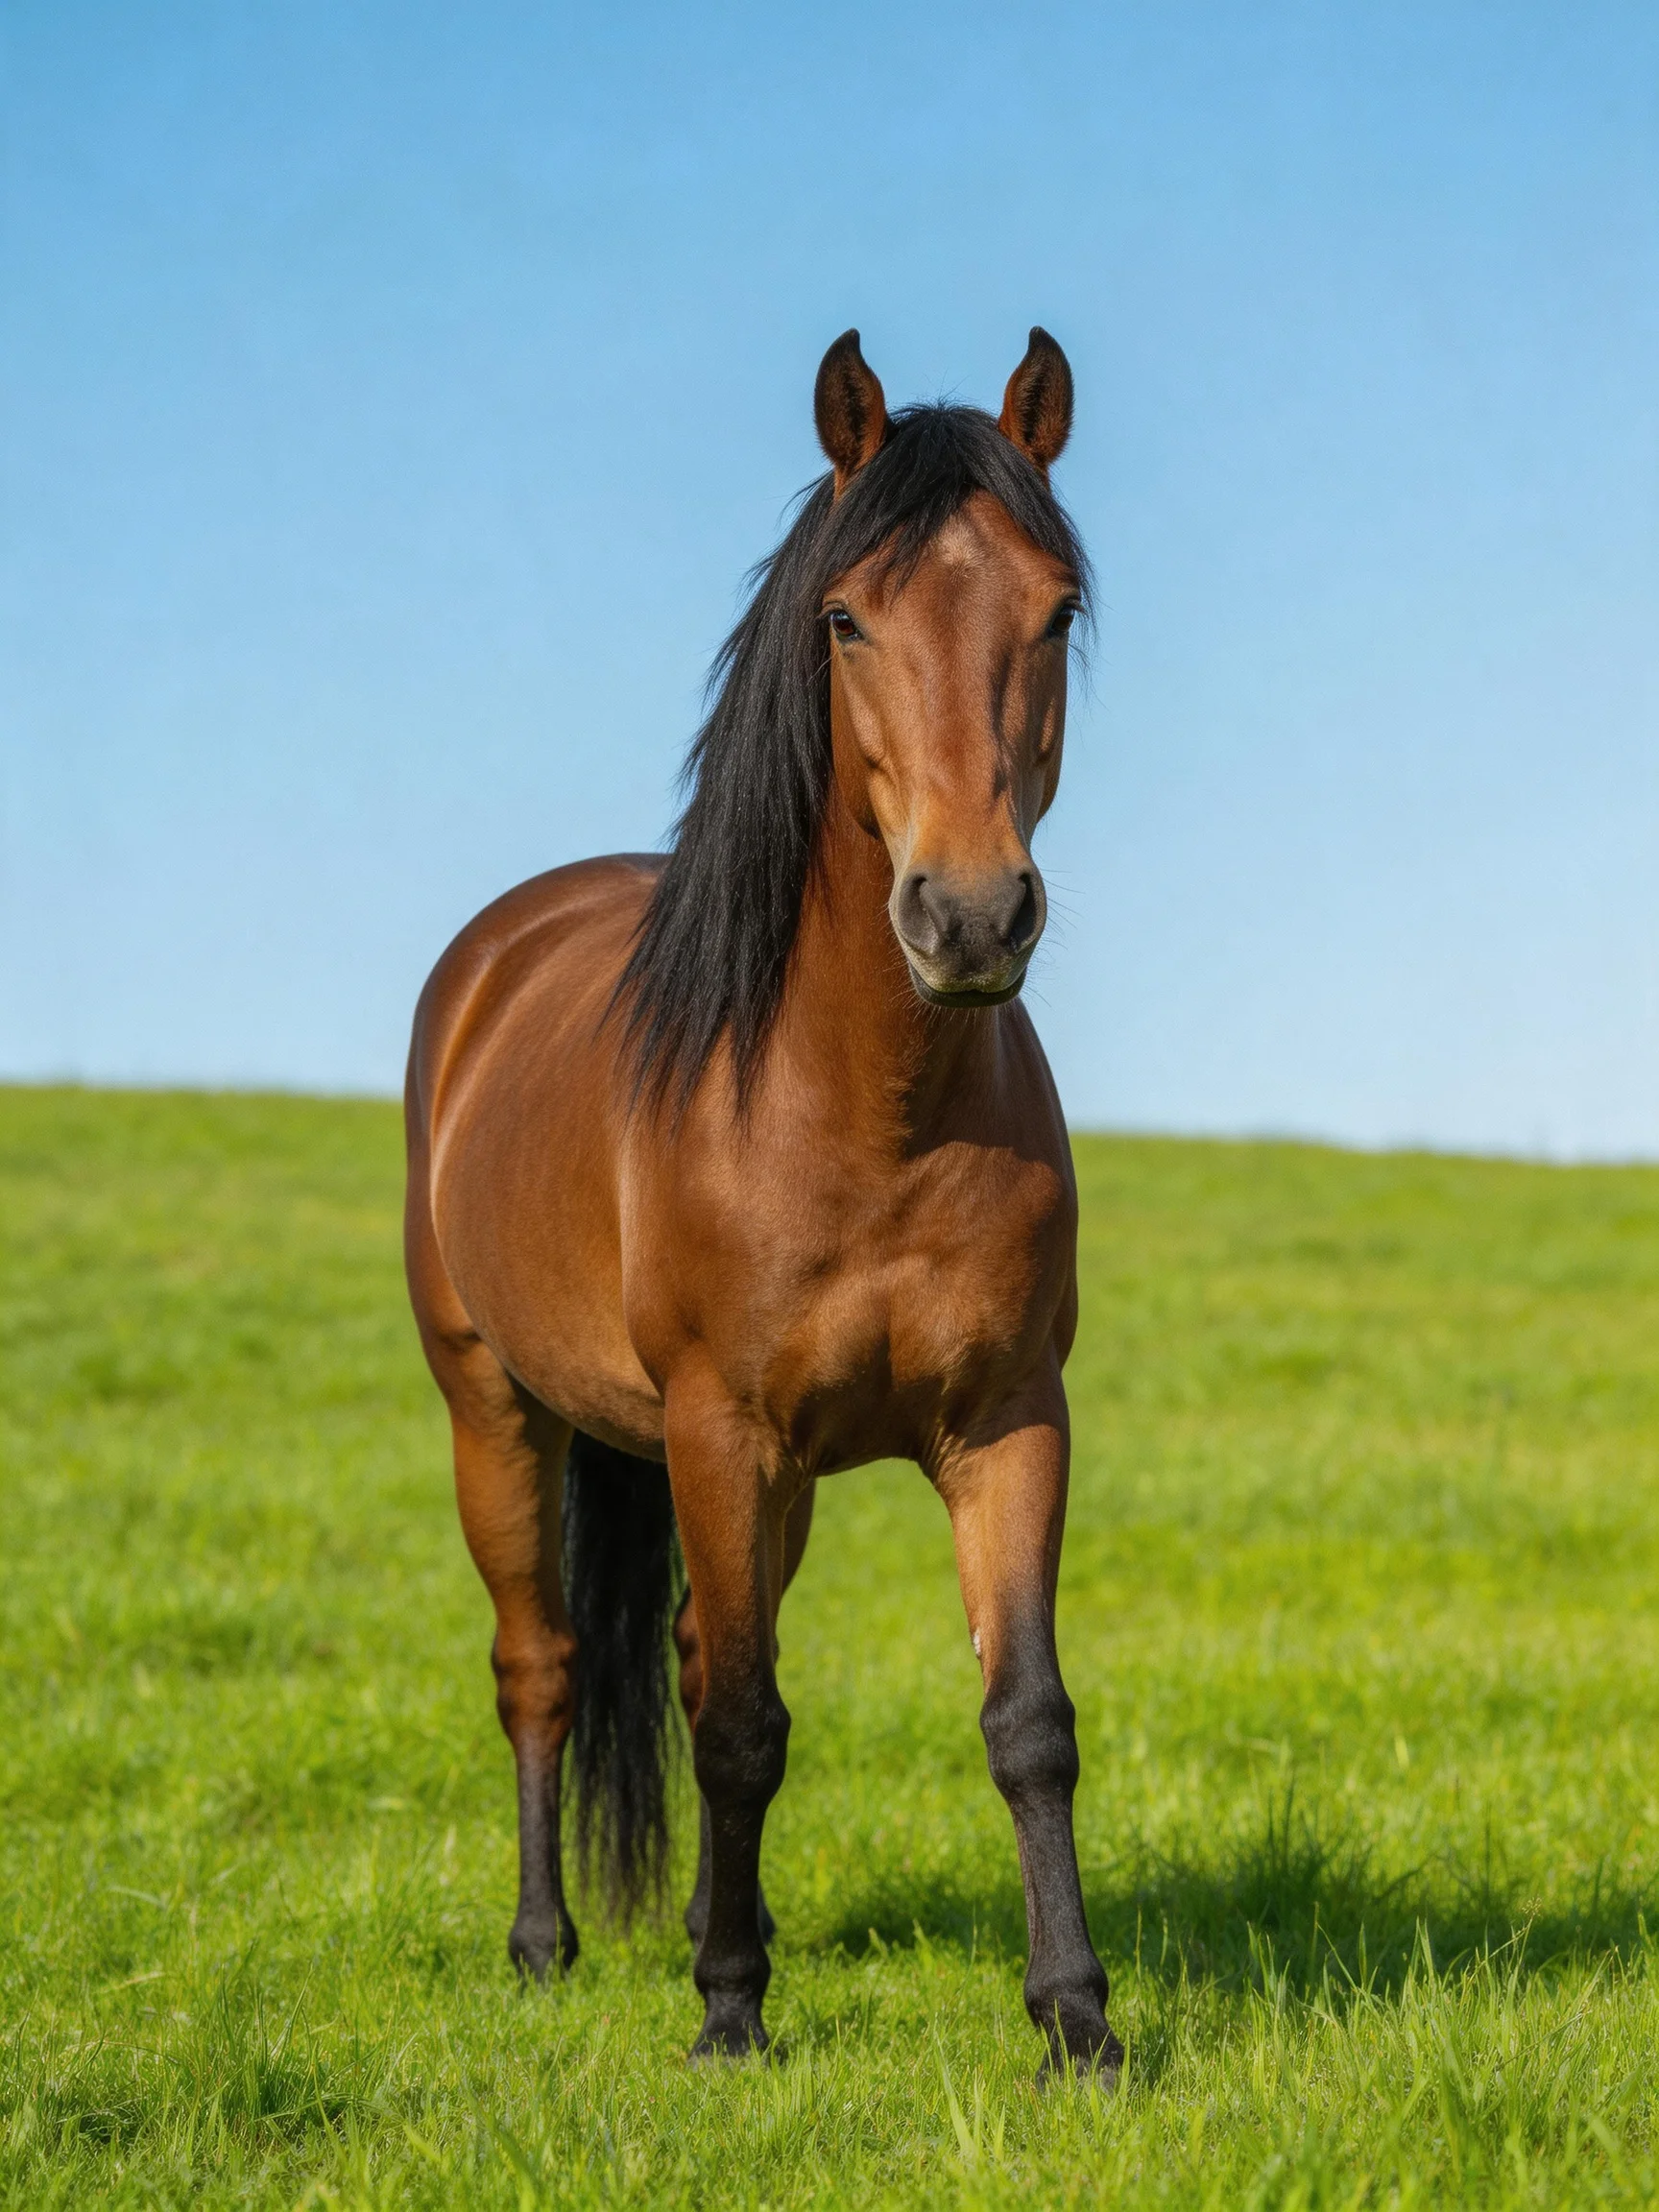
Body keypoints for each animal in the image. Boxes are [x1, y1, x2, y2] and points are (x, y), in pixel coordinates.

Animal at [404, 327, 1122, 2080]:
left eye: (1051, 610)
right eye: (846, 617)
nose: (968, 913)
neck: (862, 1110)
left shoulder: (1009, 1419)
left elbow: (1026, 1721)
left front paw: (1076, 2019)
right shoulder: (719, 1428)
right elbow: (738, 1727)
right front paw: (730, 2017)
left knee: (679, 1656)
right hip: (495, 1409)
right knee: (545, 1668)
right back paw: (549, 1945)